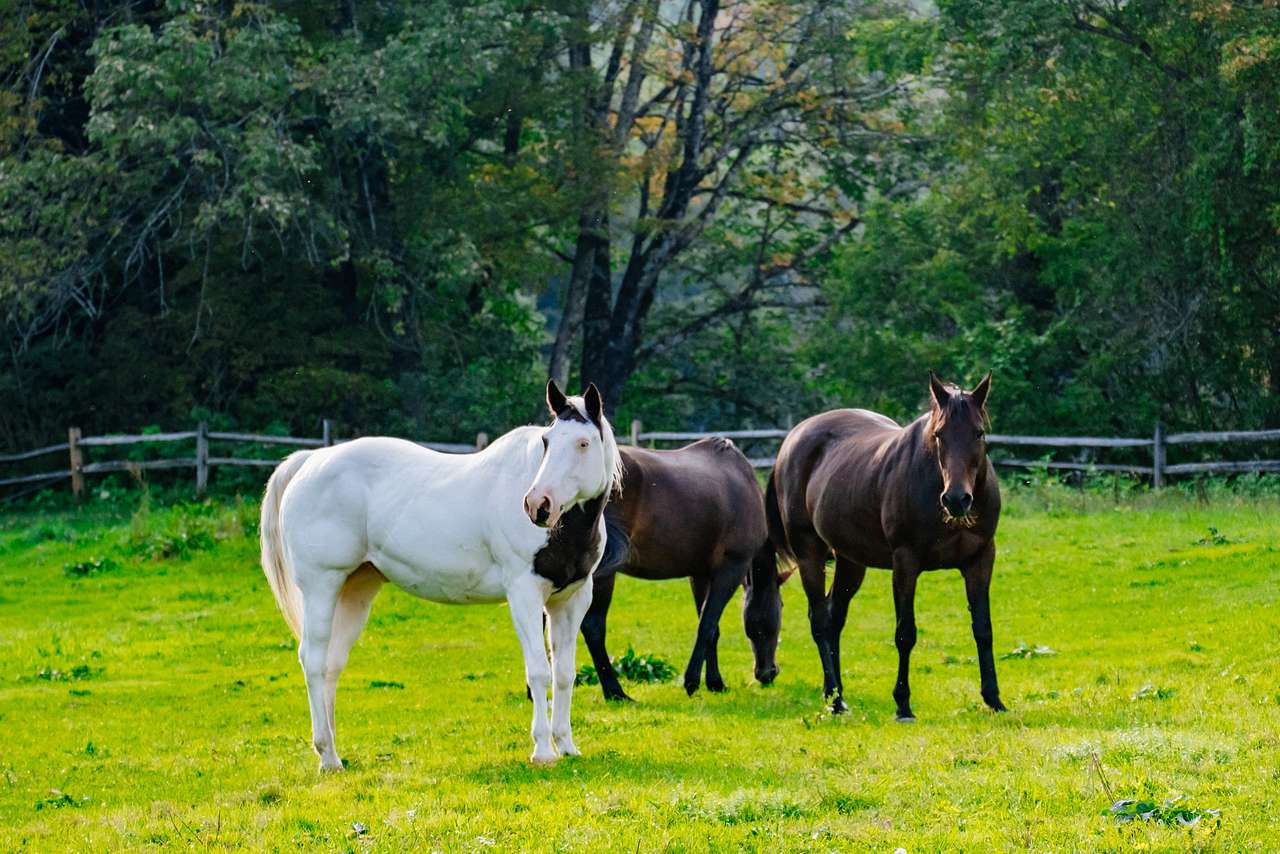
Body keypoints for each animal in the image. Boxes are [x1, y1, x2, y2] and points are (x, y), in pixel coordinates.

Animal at [259, 379, 623, 768]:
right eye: (547, 442)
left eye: (583, 443)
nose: (538, 505)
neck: (564, 528)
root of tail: (311, 461)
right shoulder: (524, 595)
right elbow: (539, 671)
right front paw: (542, 749)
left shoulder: (570, 600)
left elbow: (565, 674)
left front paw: (566, 745)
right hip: (321, 587)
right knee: (312, 661)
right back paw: (326, 756)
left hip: (355, 590)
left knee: (331, 664)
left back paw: (331, 752)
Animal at [579, 437, 784, 700]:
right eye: (781, 606)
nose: (768, 673)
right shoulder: (731, 569)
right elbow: (707, 625)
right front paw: (692, 681)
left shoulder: (701, 575)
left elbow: (712, 629)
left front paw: (715, 682)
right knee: (593, 627)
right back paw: (615, 692)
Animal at [764, 372, 1006, 720]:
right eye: (939, 435)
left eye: (979, 432)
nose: (957, 499)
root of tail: (792, 439)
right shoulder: (905, 563)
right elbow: (905, 633)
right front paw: (903, 703)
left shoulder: (980, 560)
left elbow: (983, 629)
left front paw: (994, 698)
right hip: (809, 553)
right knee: (820, 622)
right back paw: (834, 698)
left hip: (851, 562)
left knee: (834, 619)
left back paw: (837, 695)